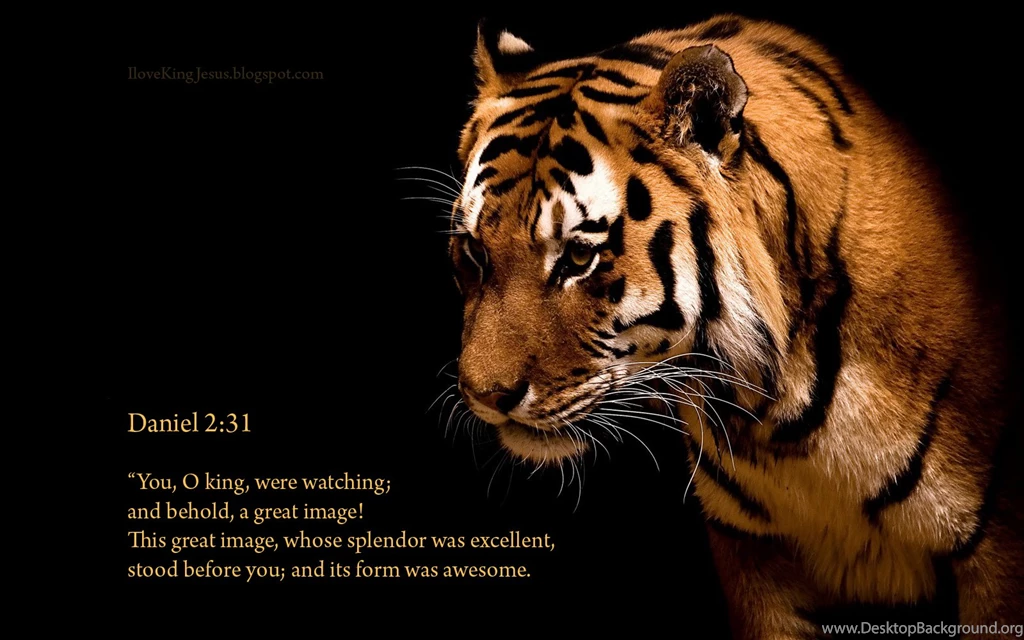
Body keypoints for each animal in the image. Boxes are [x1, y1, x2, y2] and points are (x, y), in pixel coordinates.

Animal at [445, 14, 1022, 639]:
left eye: (578, 257)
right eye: (474, 252)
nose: (486, 396)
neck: (779, 418)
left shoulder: (996, 549)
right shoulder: (752, 550)